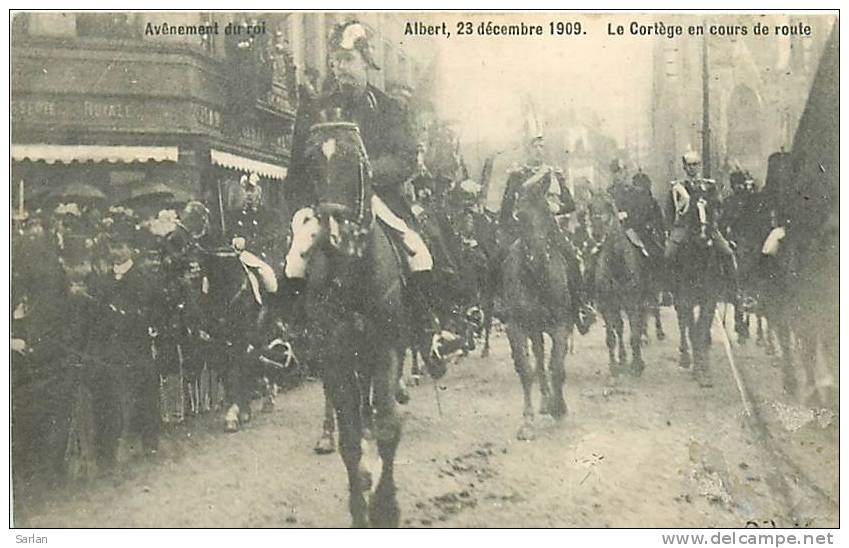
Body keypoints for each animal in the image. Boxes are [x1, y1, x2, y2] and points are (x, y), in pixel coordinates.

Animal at [296, 120, 406, 528]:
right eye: (311, 162)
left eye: (355, 161)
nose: (334, 235)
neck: (354, 273)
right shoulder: (335, 356)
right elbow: (349, 441)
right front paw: (360, 507)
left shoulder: (387, 348)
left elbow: (389, 429)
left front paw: (386, 507)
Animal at [504, 184, 568, 440]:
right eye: (520, 216)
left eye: (548, 213)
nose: (539, 257)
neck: (537, 279)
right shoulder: (517, 327)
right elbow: (526, 370)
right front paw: (527, 422)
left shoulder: (560, 325)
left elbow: (557, 367)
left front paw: (559, 408)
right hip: (534, 329)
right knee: (539, 360)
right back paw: (544, 399)